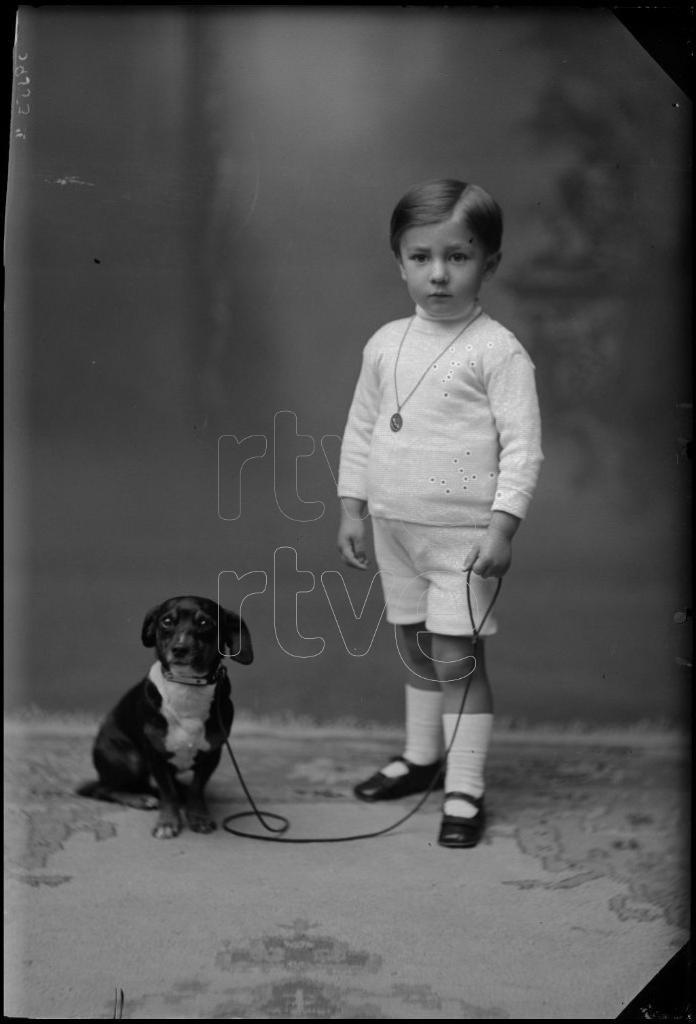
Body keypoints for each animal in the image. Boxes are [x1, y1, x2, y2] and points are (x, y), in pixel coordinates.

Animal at [77, 598, 251, 835]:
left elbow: (197, 788)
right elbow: (167, 792)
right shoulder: (155, 755)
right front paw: (168, 822)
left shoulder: (212, 754)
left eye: (204, 622)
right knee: (104, 789)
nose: (179, 649)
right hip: (129, 757)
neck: (187, 686)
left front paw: (198, 816)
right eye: (167, 621)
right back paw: (139, 798)